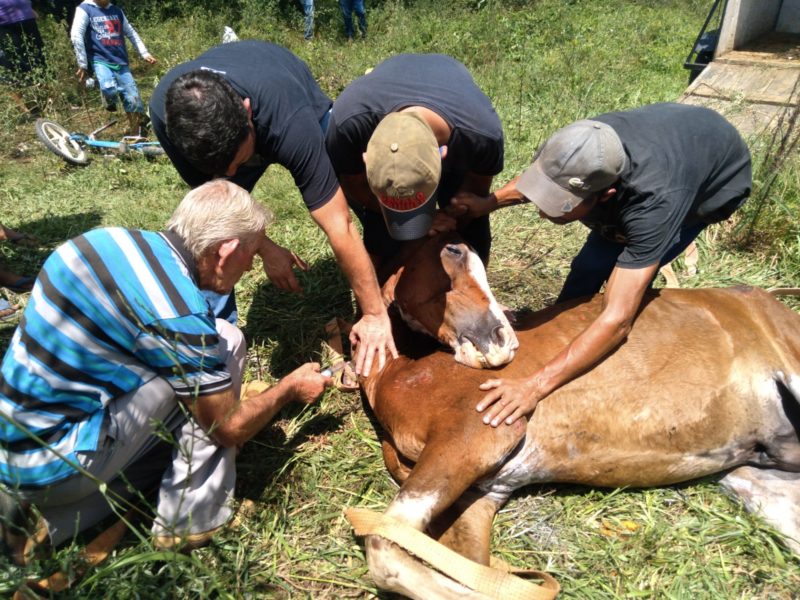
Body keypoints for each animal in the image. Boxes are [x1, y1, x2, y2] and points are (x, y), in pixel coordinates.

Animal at [354, 233, 800, 600]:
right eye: (453, 252)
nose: (502, 341)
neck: (405, 370)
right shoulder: (479, 494)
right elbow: (465, 569)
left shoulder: (473, 437)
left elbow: (387, 551)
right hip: (760, 479)